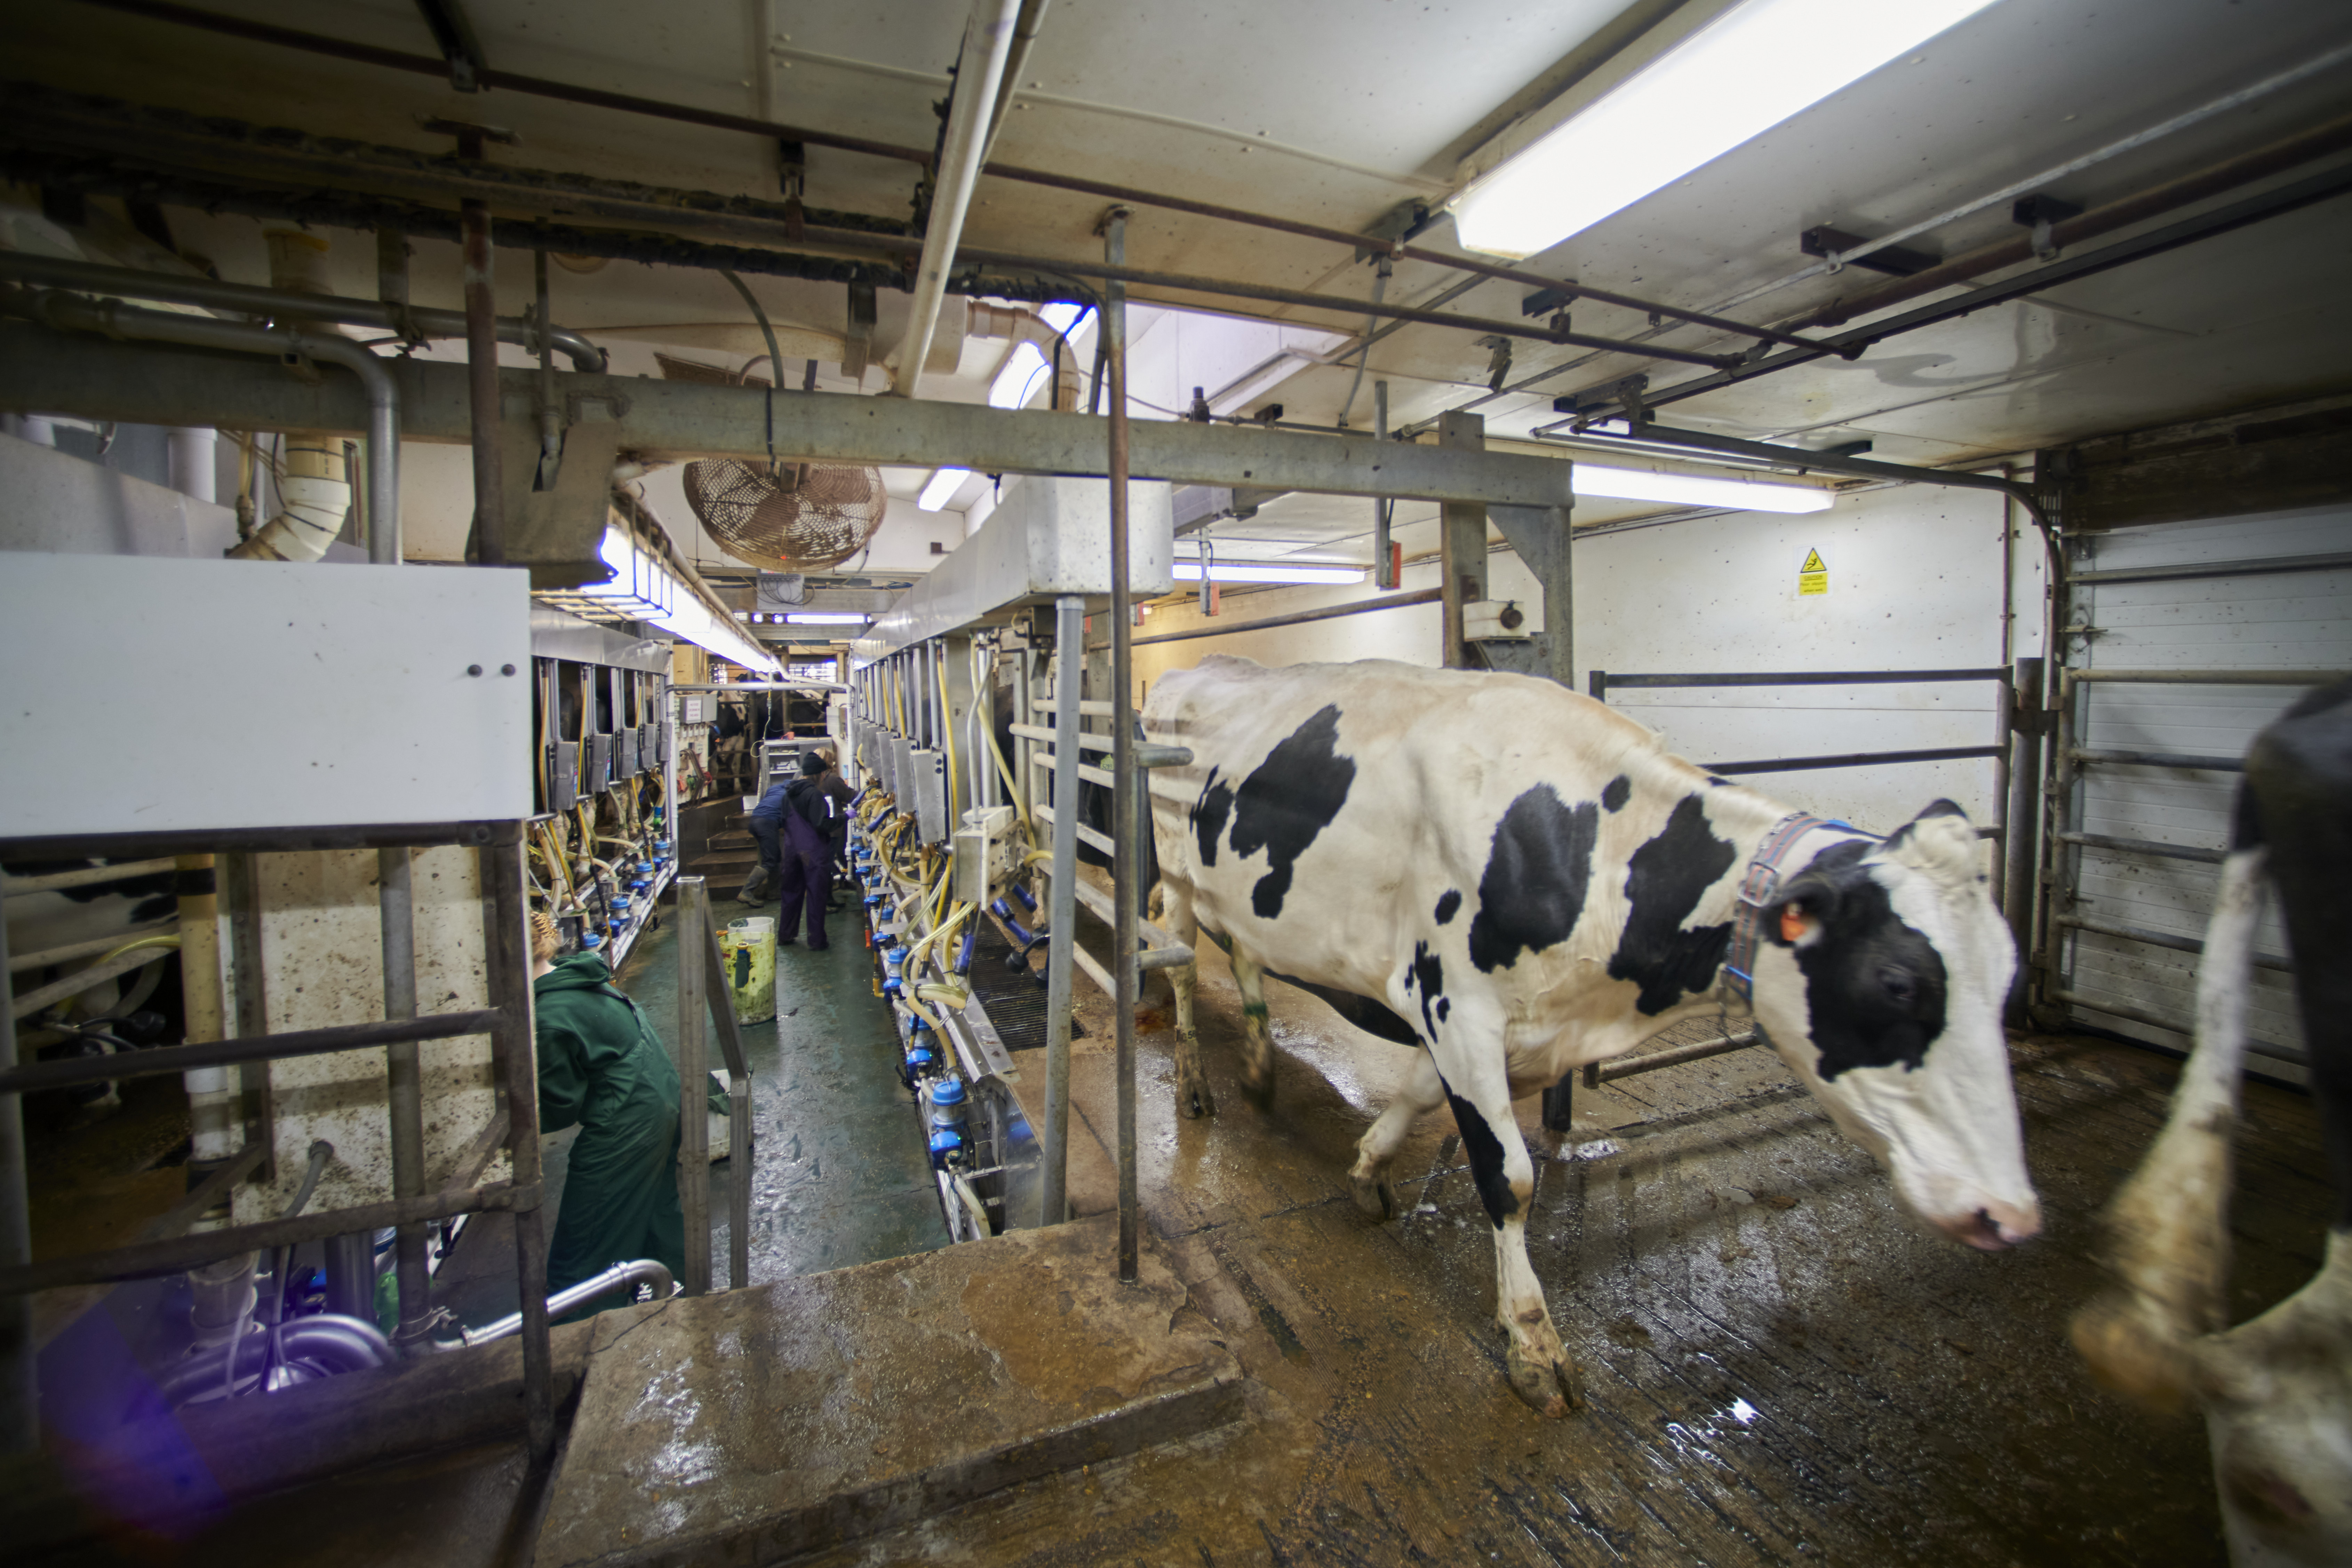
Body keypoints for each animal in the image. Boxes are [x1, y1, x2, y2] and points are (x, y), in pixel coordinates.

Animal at [1143, 658, 2041, 1420]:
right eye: (1898, 982)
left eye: (2007, 969)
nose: (2009, 1215)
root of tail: (1199, 667)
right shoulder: (1455, 1002)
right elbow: (1508, 1176)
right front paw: (1532, 1341)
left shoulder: (1512, 1026)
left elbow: (1417, 1094)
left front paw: (1367, 1165)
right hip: (1175, 874)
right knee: (1180, 963)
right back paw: (1195, 1087)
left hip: (1239, 895)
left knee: (1245, 956)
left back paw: (1258, 1067)